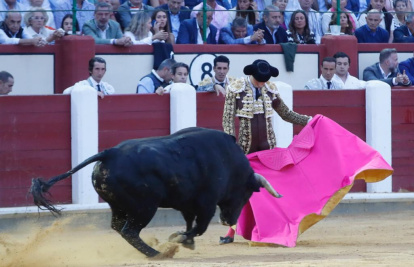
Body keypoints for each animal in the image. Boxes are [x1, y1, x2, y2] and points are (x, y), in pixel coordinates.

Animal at [29, 127, 282, 258]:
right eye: (247, 194)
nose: (228, 220)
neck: (228, 161)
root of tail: (109, 153)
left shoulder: (188, 204)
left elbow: (190, 223)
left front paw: (183, 238)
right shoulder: (207, 204)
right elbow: (199, 227)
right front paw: (180, 239)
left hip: (119, 205)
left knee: (118, 226)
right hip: (144, 207)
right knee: (129, 231)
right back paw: (156, 253)